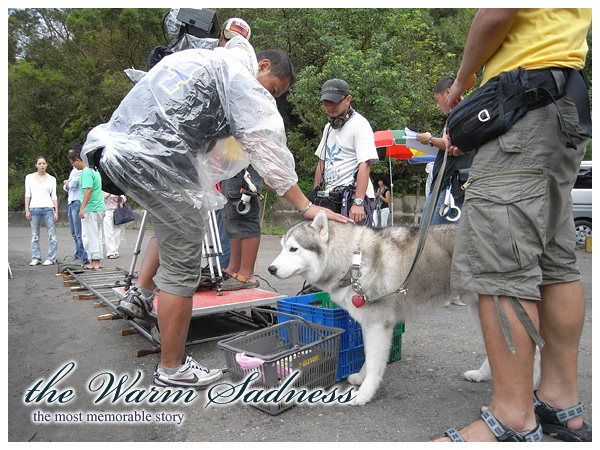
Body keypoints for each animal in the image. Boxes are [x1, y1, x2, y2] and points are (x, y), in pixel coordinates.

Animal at [268, 211, 478, 404]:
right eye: (282, 248)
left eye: (293, 249)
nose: (271, 269)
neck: (354, 261)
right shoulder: (368, 324)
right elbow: (368, 356)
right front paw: (361, 378)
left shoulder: (378, 324)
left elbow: (374, 361)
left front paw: (364, 393)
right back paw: (480, 375)